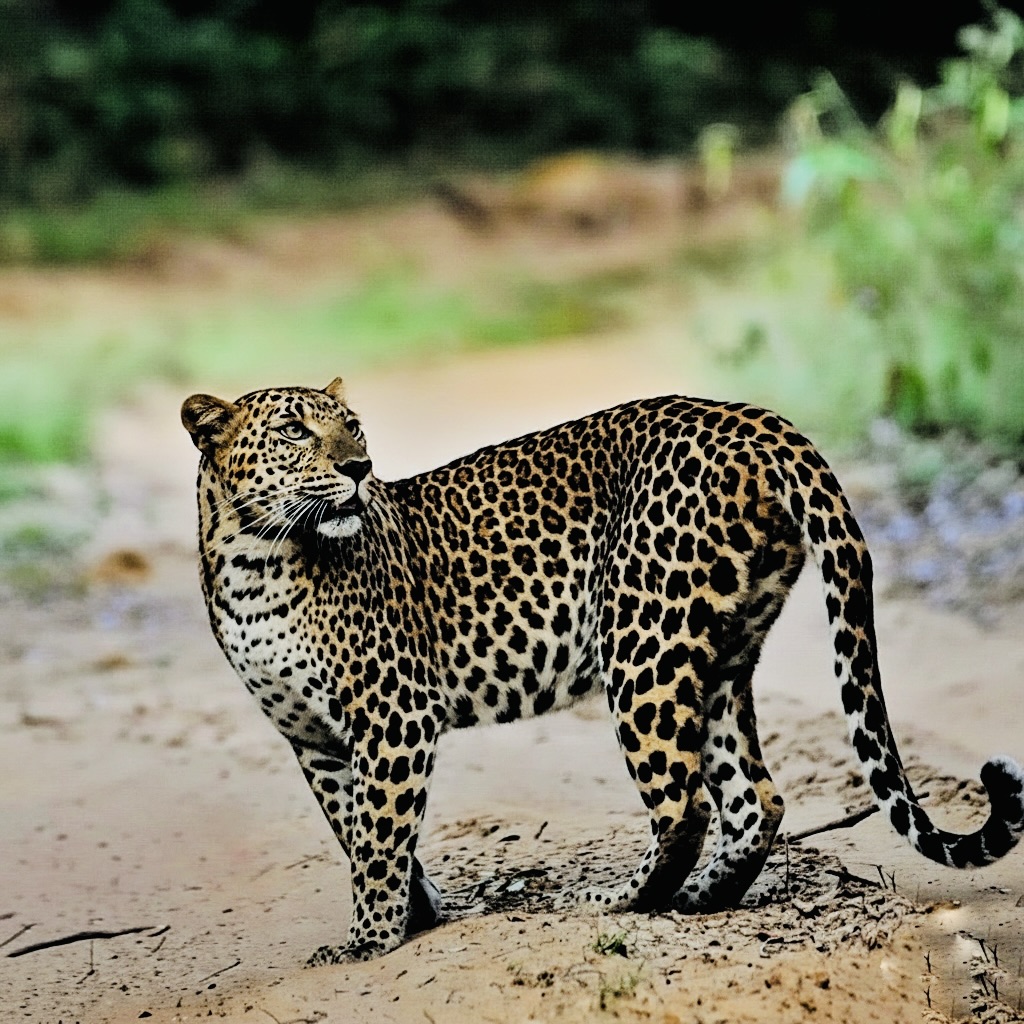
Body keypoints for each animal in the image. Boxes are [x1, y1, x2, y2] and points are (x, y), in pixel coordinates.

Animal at [181, 378, 1024, 966]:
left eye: (351, 426)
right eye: (295, 430)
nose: (358, 467)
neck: (255, 566)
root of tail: (756, 420)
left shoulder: (393, 717)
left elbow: (382, 837)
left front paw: (372, 939)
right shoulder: (313, 740)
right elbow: (356, 832)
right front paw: (415, 916)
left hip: (641, 641)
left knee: (685, 803)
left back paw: (616, 900)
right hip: (720, 655)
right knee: (754, 797)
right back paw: (698, 899)